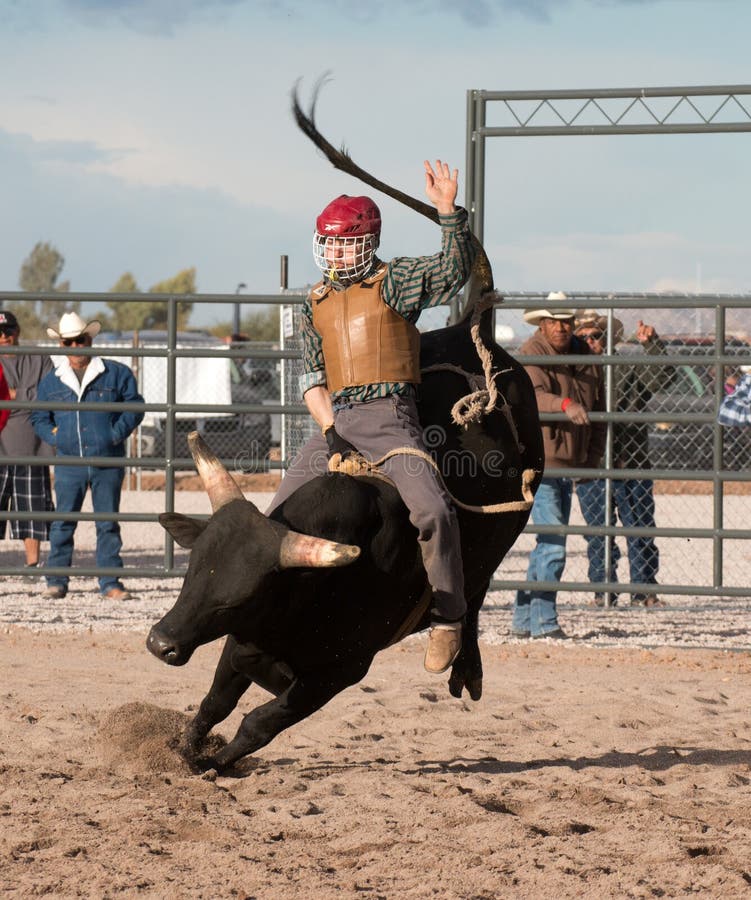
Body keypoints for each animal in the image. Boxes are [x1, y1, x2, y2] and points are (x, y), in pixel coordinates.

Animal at [147, 312, 544, 772]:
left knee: (474, 597)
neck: (314, 587)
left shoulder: (342, 671)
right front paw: (186, 750)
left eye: (236, 599)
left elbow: (259, 722)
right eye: (192, 573)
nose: (161, 642)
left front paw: (215, 764)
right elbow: (216, 702)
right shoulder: (243, 640)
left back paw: (463, 663)